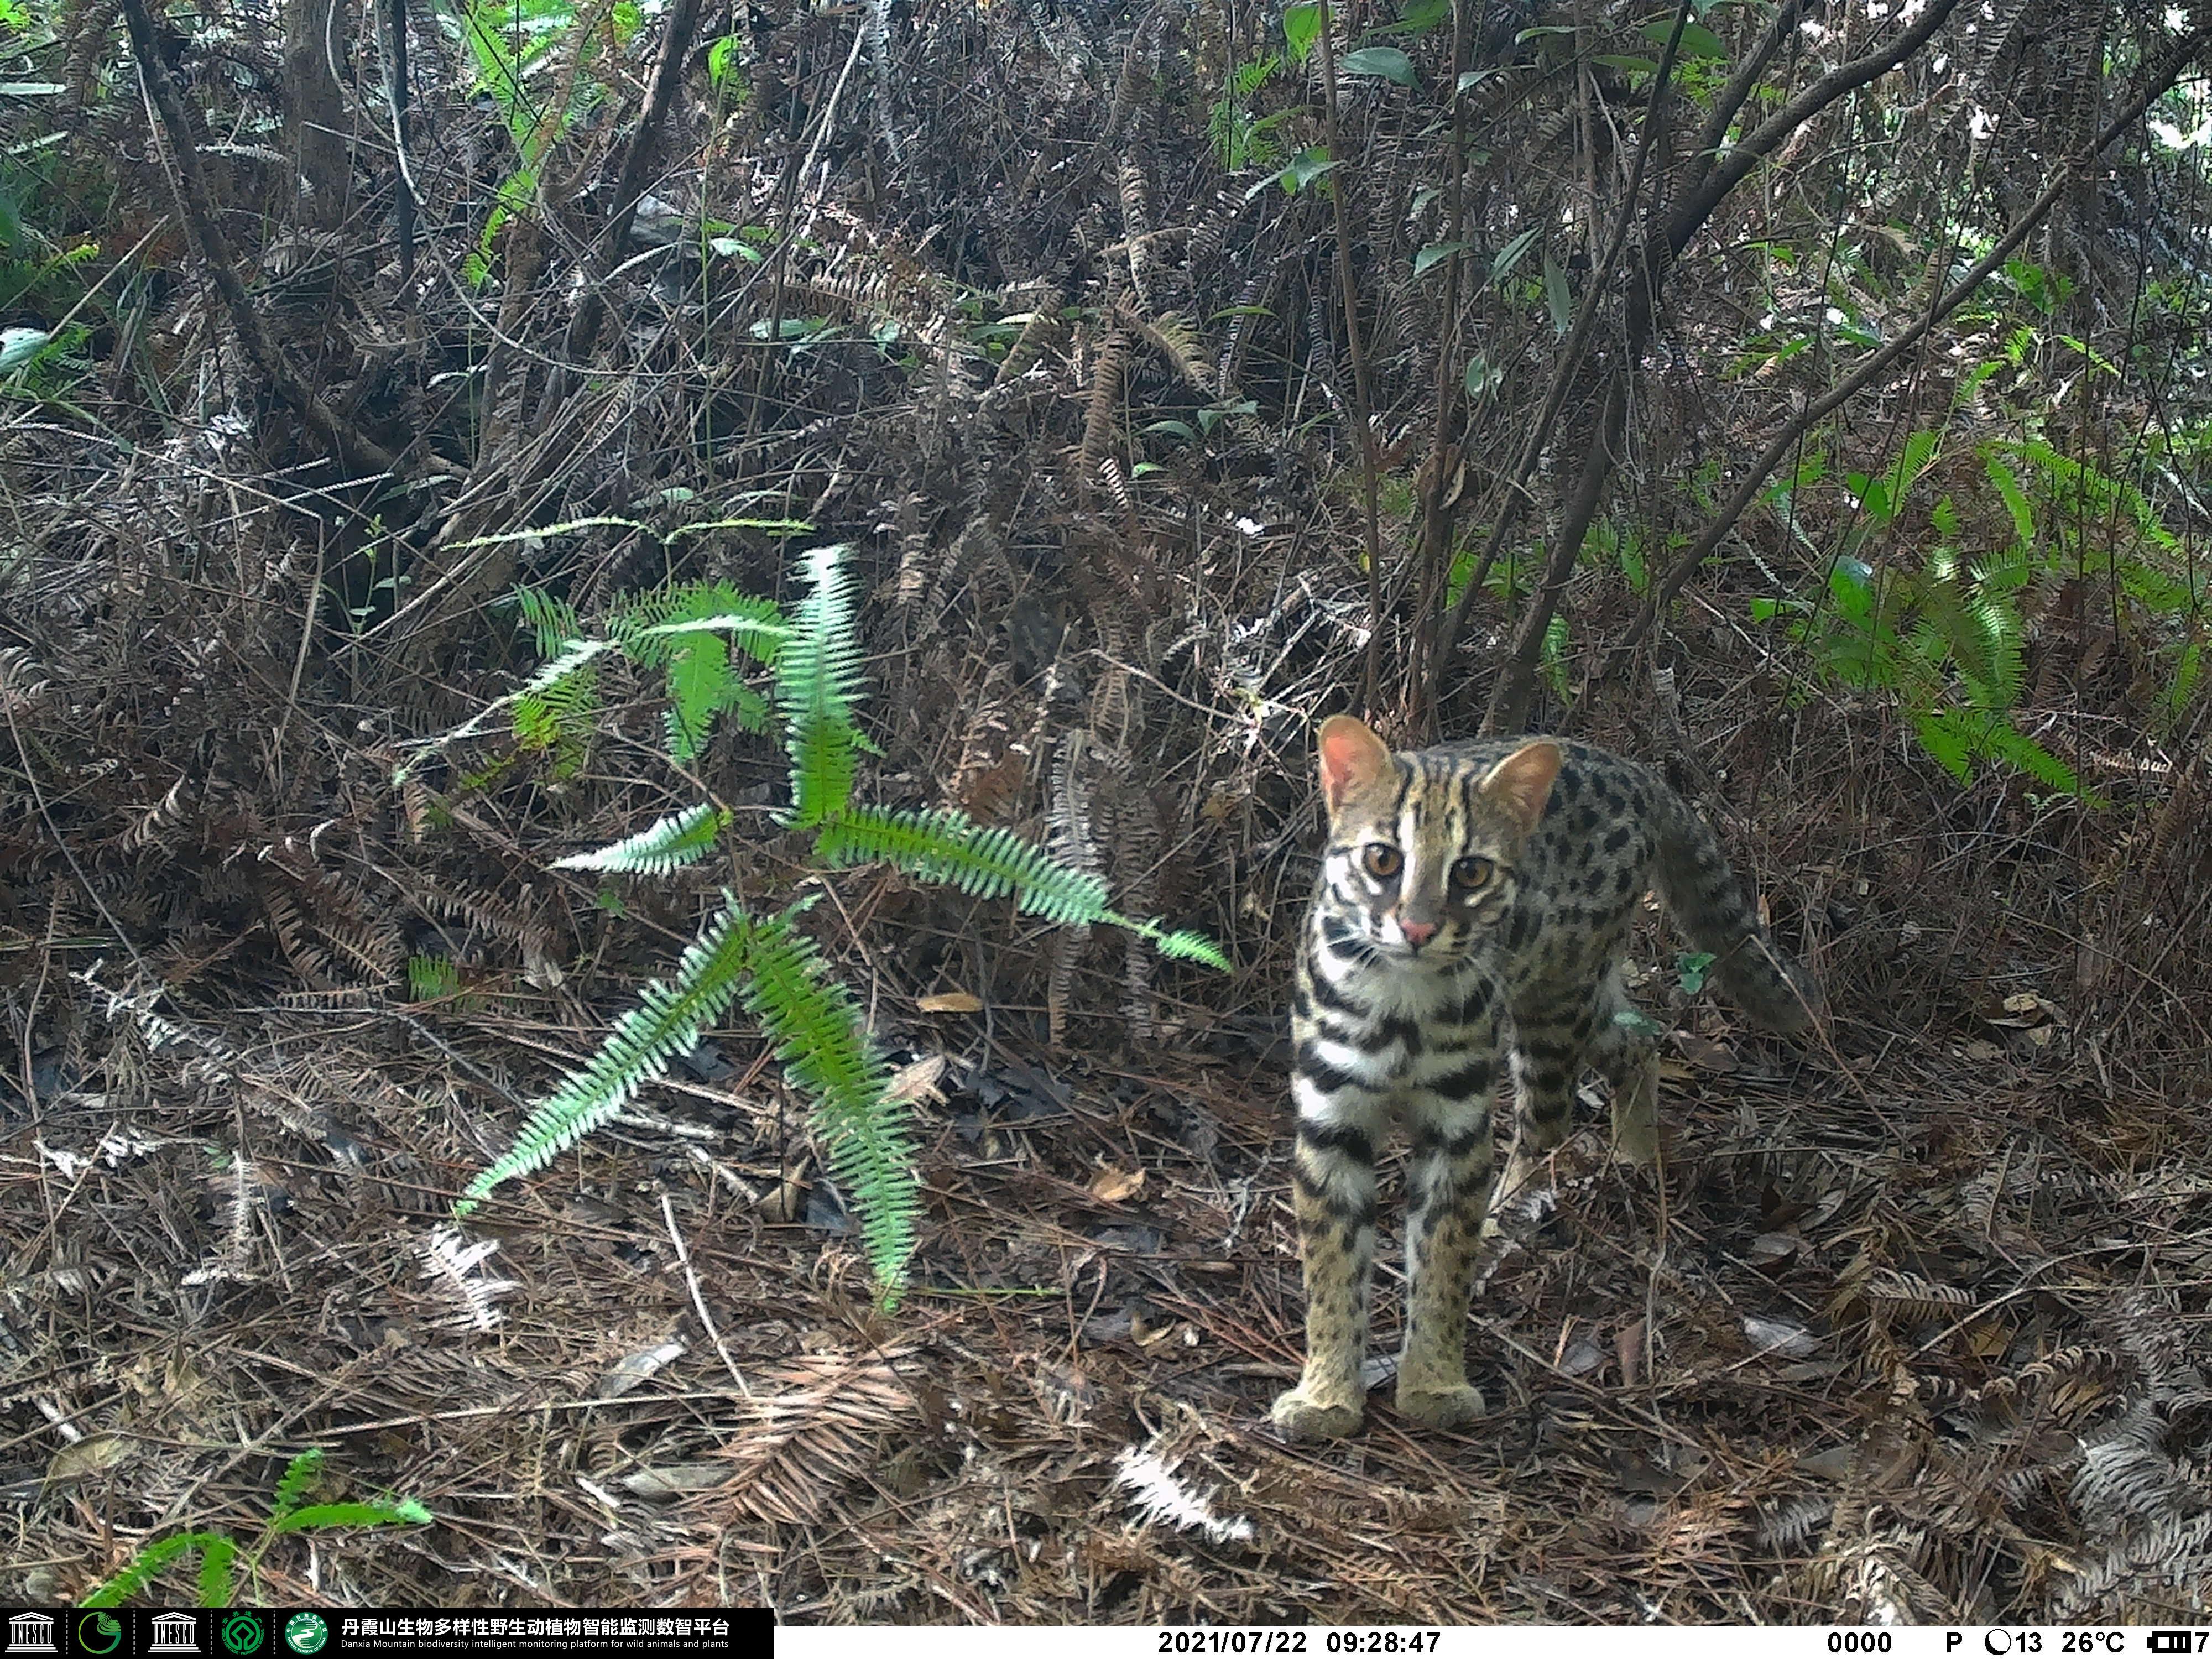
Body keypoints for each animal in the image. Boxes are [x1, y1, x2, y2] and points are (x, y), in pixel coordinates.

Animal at [1274, 717, 1823, 1442]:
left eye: (1471, 871)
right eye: (1381, 860)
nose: (1418, 928)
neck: (1402, 999)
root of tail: (1635, 769)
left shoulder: (1457, 1120)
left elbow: (1443, 1259)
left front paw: (1433, 1382)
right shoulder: (1331, 1117)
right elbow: (1331, 1267)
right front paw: (1328, 1394)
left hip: (1554, 1004)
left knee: (1551, 1121)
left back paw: (1522, 1209)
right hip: (1567, 999)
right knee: (1636, 1040)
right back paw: (1633, 1155)